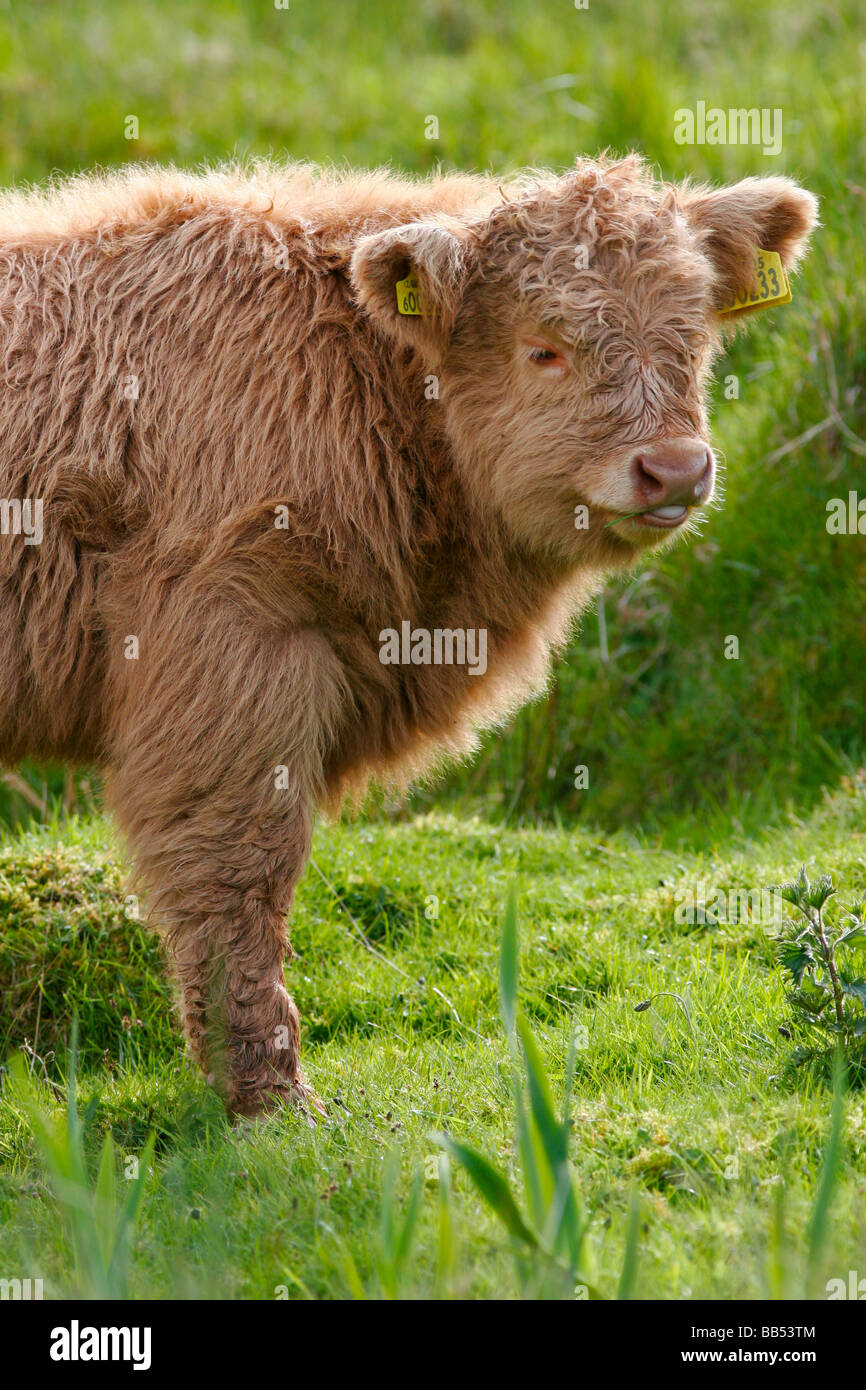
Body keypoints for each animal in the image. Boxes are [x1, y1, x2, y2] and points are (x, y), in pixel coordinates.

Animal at [0, 159, 817, 1117]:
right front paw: (270, 1100)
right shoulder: (234, 655)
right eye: (544, 348)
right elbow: (238, 878)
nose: (676, 469)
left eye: (692, 338)